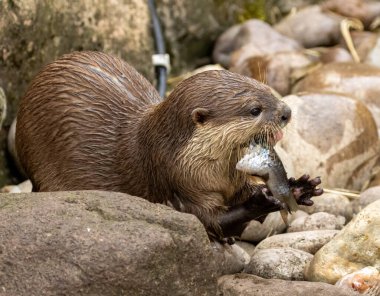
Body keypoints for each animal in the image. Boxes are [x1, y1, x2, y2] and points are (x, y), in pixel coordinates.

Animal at [16, 51, 322, 240]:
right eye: (254, 109)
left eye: (266, 89)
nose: (286, 112)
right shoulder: (179, 181)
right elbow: (211, 221)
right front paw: (261, 200)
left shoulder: (232, 181)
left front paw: (300, 186)